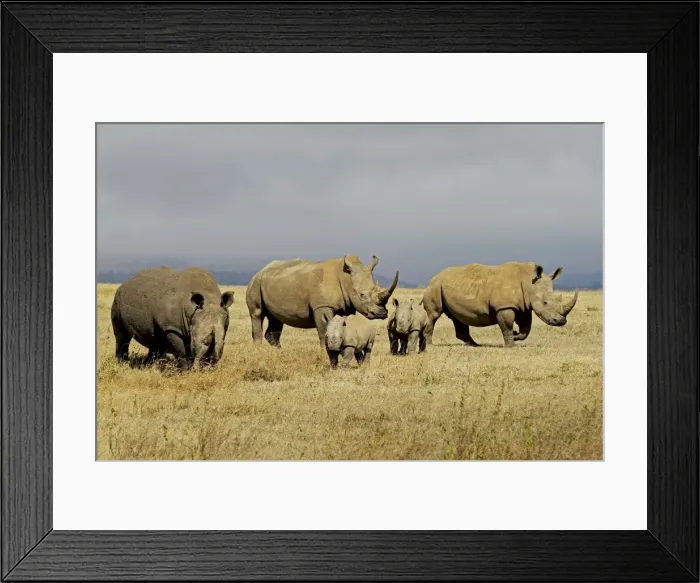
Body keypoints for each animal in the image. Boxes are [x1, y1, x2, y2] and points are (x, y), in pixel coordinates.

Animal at [245, 254, 398, 347]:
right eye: (361, 295)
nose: (381, 313)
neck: (346, 279)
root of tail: (261, 270)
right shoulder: (322, 307)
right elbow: (324, 331)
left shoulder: (348, 307)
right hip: (255, 282)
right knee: (257, 314)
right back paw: (259, 350)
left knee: (276, 319)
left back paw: (279, 353)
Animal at [421, 262, 578, 348]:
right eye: (545, 302)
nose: (561, 321)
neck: (529, 282)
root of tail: (433, 277)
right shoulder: (504, 306)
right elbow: (507, 326)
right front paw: (510, 345)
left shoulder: (524, 307)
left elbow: (526, 329)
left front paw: (516, 335)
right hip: (435, 286)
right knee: (434, 314)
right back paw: (430, 344)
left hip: (448, 286)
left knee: (457, 317)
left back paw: (474, 345)